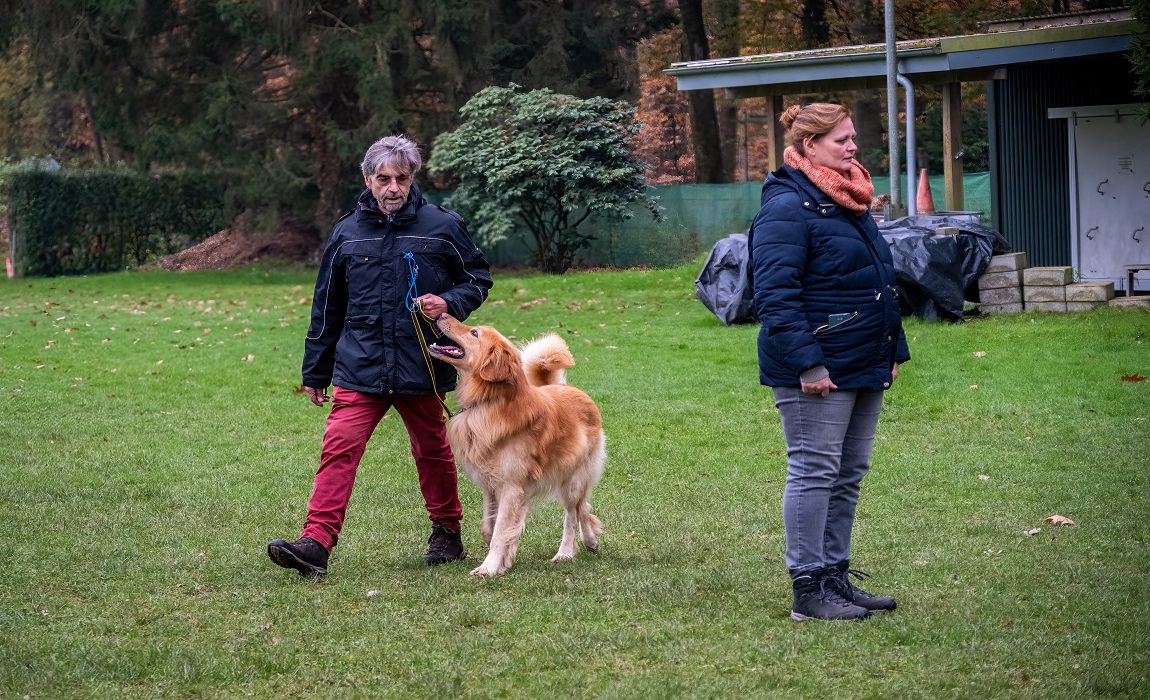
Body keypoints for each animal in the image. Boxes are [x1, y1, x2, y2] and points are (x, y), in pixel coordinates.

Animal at [430, 314, 607, 572]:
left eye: (474, 333)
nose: (442, 314)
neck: (489, 402)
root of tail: (568, 388)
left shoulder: (512, 486)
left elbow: (500, 531)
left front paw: (489, 567)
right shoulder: (491, 484)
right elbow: (490, 528)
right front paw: (506, 556)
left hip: (572, 479)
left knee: (572, 515)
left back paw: (565, 551)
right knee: (583, 507)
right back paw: (591, 540)